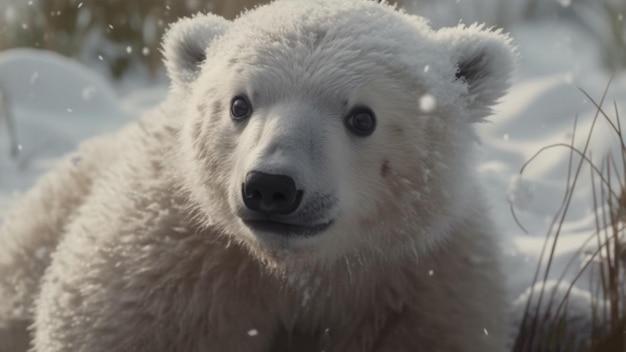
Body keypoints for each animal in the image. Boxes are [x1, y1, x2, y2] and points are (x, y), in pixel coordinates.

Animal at [0, 1, 512, 350]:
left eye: (362, 117)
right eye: (239, 104)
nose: (271, 187)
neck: (297, 272)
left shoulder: (424, 285)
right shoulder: (168, 273)